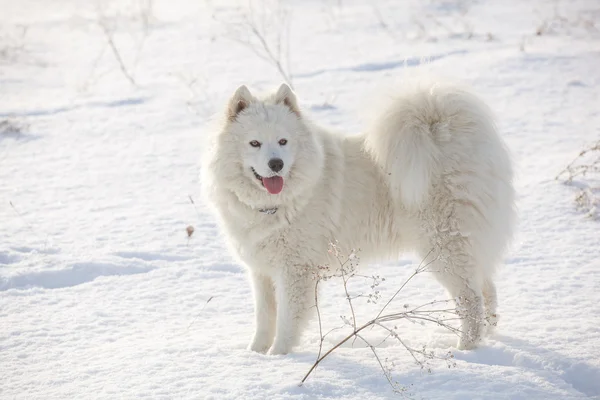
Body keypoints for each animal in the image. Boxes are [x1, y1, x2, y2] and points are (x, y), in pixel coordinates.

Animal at [203, 79, 516, 354]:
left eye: (283, 141)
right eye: (254, 143)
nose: (276, 164)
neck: (277, 204)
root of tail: (446, 131)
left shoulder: (295, 271)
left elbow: (287, 321)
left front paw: (279, 357)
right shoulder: (262, 271)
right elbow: (265, 318)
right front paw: (255, 355)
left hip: (444, 247)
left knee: (471, 300)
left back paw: (466, 350)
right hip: (464, 249)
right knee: (487, 290)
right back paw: (486, 338)